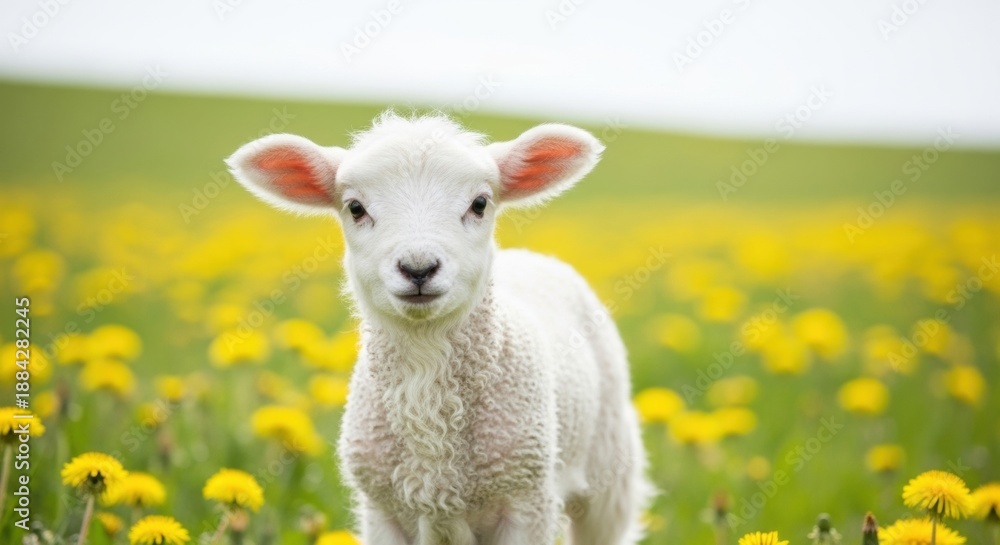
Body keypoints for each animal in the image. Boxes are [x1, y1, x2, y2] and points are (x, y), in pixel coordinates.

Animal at [227, 112, 652, 545]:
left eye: (479, 203)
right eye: (355, 208)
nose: (418, 268)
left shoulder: (526, 502)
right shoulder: (381, 510)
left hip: (608, 473)